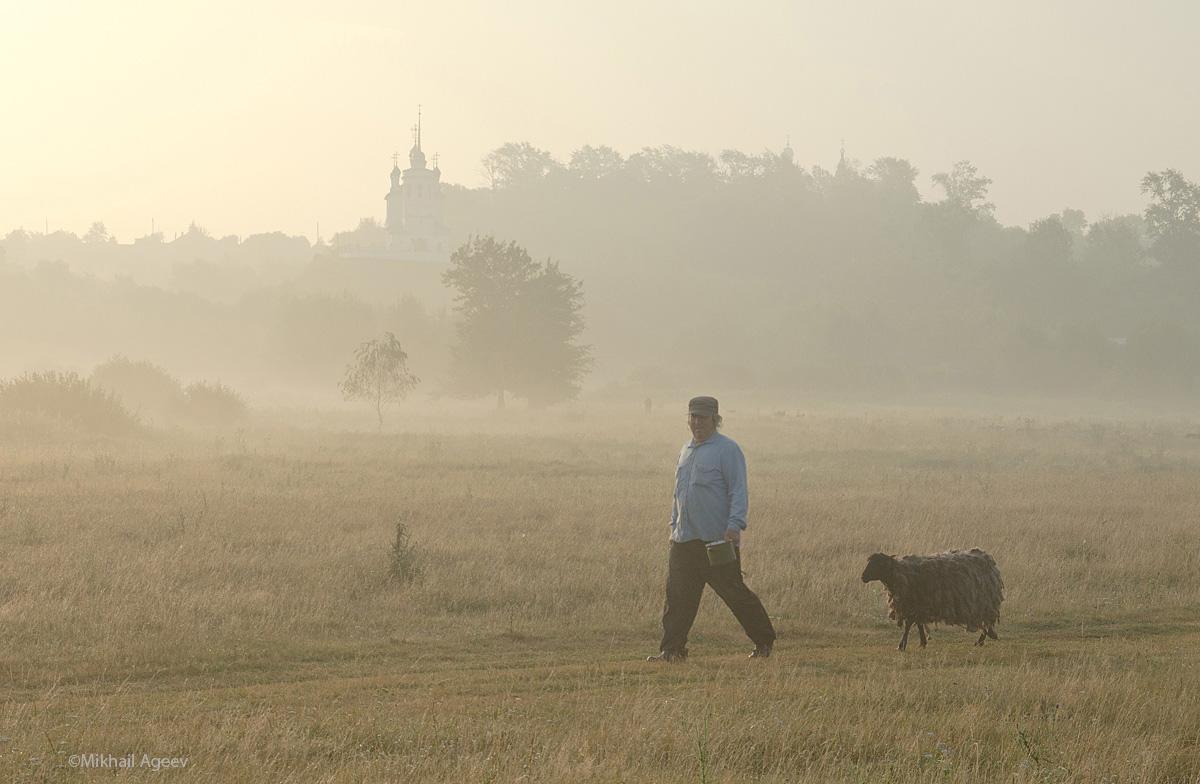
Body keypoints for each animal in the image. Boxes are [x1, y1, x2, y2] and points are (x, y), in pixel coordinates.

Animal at [864, 547, 1003, 653]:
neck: (902, 573)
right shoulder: (918, 607)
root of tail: (987, 557)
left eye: (877, 563)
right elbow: (918, 624)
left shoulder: (917, 605)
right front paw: (922, 642)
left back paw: (981, 640)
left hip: (985, 603)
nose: (862, 577)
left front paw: (901, 646)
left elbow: (909, 625)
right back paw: (987, 637)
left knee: (987, 622)